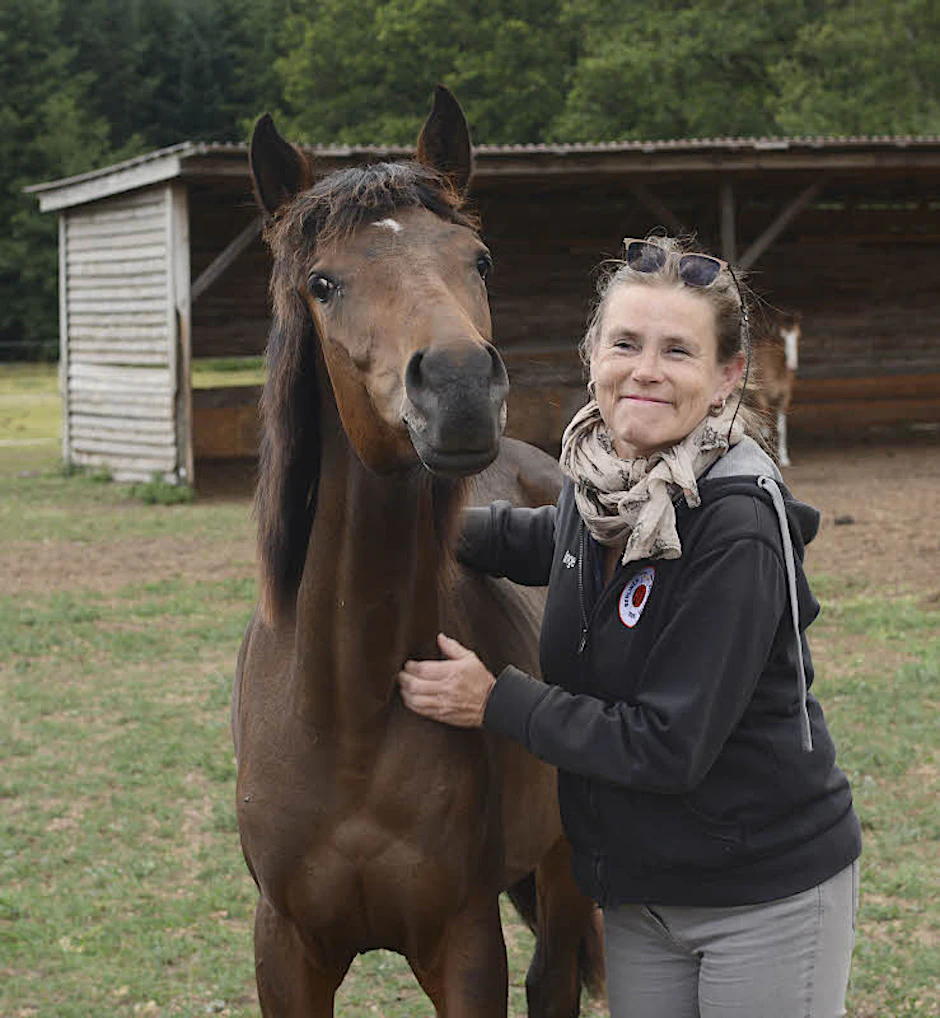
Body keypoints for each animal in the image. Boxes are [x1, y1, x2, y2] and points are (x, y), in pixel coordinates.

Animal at [231, 87, 603, 1017]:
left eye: (481, 261)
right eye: (323, 283)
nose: (463, 385)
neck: (347, 712)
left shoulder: (464, 944)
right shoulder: (284, 948)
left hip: (565, 860)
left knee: (557, 979)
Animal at [752, 311, 801, 466]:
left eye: (798, 335)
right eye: (782, 337)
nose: (792, 365)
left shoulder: (784, 398)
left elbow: (780, 428)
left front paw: (784, 458)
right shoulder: (761, 398)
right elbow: (765, 429)